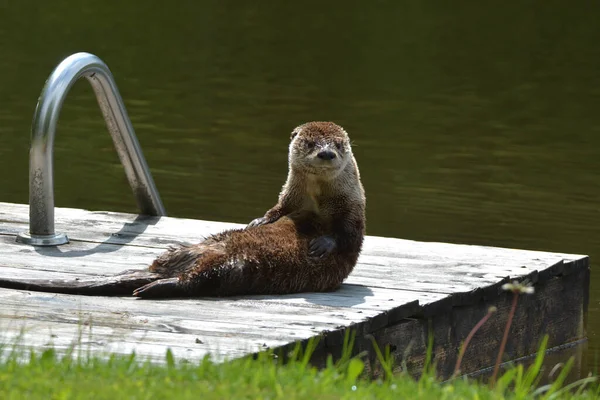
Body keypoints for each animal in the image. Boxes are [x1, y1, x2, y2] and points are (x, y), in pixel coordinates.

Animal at [0, 121, 364, 296]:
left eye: (339, 144)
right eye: (311, 143)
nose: (327, 153)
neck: (316, 201)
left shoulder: (353, 210)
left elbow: (348, 235)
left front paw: (322, 244)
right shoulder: (289, 199)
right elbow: (276, 211)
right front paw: (258, 221)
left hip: (233, 267)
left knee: (195, 281)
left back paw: (151, 288)